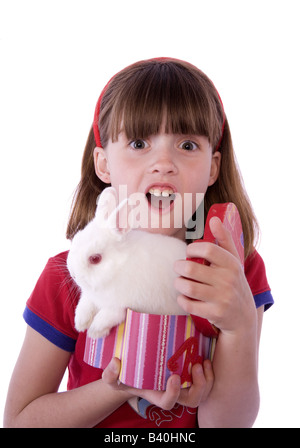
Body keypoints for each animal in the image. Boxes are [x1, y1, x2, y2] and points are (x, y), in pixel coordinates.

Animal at [67, 187, 188, 338]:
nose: (73, 274)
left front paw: (94, 332)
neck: (118, 267)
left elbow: (109, 316)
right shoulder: (91, 296)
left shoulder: (119, 305)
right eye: (75, 239)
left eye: (95, 259)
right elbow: (84, 305)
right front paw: (80, 324)